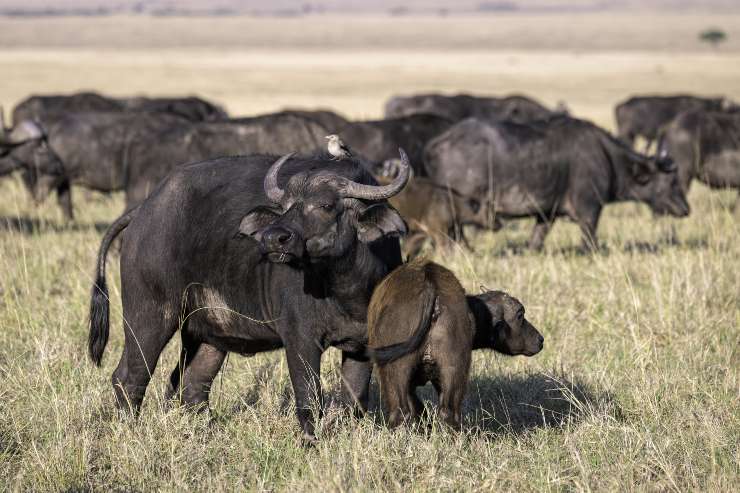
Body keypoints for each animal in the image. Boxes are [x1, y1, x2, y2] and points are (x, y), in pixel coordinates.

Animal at [88, 150, 410, 442]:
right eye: (286, 206)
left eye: (326, 205)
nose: (273, 238)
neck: (344, 291)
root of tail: (144, 210)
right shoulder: (300, 340)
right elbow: (308, 398)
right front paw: (310, 443)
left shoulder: (362, 346)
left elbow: (353, 402)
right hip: (150, 316)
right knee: (130, 377)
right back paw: (129, 430)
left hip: (208, 334)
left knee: (192, 384)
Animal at [424, 117, 692, 250]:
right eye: (671, 181)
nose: (686, 209)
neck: (607, 157)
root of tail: (437, 144)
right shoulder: (589, 210)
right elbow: (590, 241)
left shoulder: (547, 214)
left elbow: (537, 239)